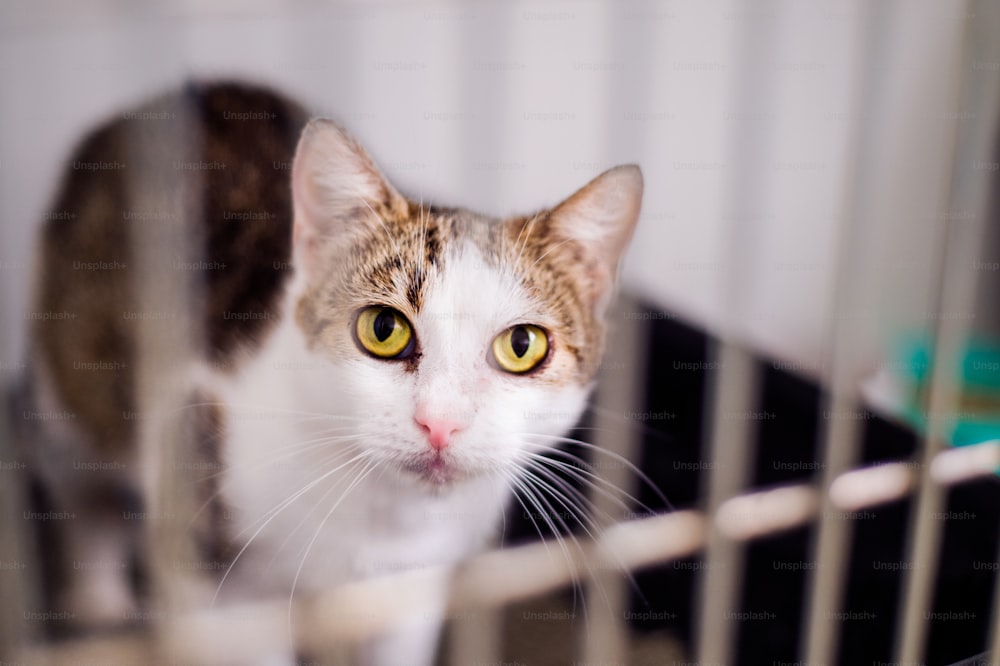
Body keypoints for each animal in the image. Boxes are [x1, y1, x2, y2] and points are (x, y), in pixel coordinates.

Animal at [13, 80, 640, 660]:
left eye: (522, 345)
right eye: (383, 329)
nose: (439, 423)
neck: (381, 516)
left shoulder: (411, 585)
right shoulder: (209, 554)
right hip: (70, 381)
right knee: (79, 484)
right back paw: (98, 599)